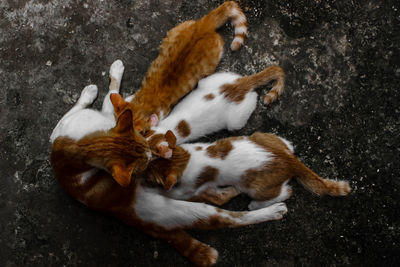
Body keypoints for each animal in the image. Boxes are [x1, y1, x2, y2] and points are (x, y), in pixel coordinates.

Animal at [145, 133, 352, 208]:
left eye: (153, 176)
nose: (145, 172)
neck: (186, 159)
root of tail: (289, 160)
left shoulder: (188, 189)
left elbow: (173, 193)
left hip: (256, 188)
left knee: (286, 192)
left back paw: (256, 205)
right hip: (258, 136)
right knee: (285, 145)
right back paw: (288, 143)